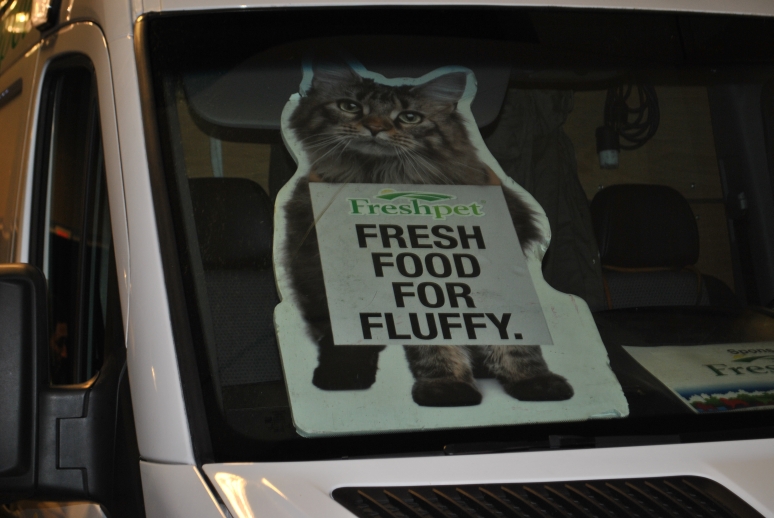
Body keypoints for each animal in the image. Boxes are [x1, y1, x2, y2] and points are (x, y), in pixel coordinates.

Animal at [282, 61, 573, 406]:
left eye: (409, 117)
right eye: (350, 107)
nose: (375, 128)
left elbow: (514, 339)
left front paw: (533, 381)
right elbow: (426, 340)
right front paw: (448, 386)